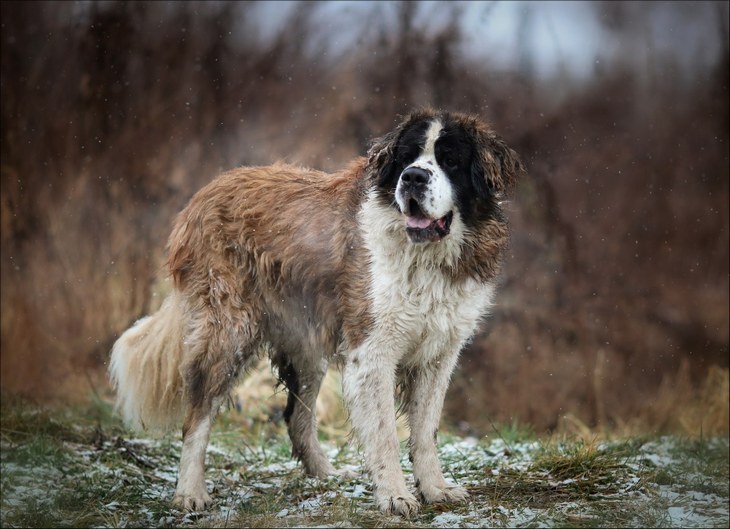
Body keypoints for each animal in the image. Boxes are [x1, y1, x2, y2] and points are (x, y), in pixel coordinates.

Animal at [108, 108, 520, 516]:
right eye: (406, 158)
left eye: (450, 161)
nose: (413, 177)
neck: (427, 256)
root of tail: (203, 194)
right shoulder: (372, 352)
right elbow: (385, 432)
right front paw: (395, 496)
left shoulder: (439, 354)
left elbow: (425, 431)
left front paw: (435, 489)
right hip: (228, 333)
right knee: (197, 416)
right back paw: (189, 493)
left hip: (306, 347)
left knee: (296, 418)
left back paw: (326, 475)